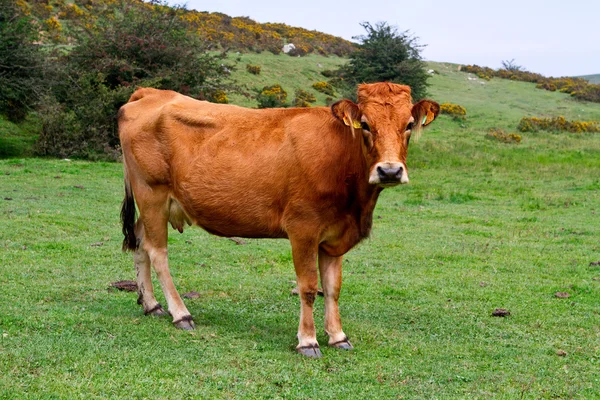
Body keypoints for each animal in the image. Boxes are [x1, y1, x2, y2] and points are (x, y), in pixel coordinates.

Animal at [118, 83, 436, 358]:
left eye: (409, 124)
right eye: (366, 124)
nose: (390, 171)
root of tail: (152, 93)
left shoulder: (335, 236)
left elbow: (333, 288)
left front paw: (338, 336)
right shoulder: (303, 229)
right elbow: (308, 287)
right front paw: (308, 341)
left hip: (152, 203)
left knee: (139, 243)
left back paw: (151, 305)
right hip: (152, 193)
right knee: (158, 253)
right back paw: (181, 313)